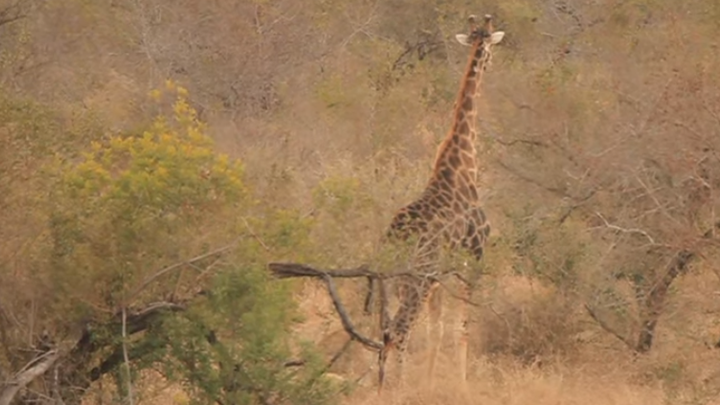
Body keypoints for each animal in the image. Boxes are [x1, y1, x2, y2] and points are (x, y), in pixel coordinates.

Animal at [380, 15, 504, 392]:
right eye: (489, 48)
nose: (491, 62)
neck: (463, 164)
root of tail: (394, 238)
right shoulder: (473, 257)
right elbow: (461, 327)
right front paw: (462, 384)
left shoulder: (441, 274)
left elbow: (436, 330)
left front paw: (431, 380)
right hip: (416, 279)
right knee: (401, 329)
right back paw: (398, 389)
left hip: (392, 279)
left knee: (385, 329)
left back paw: (380, 385)